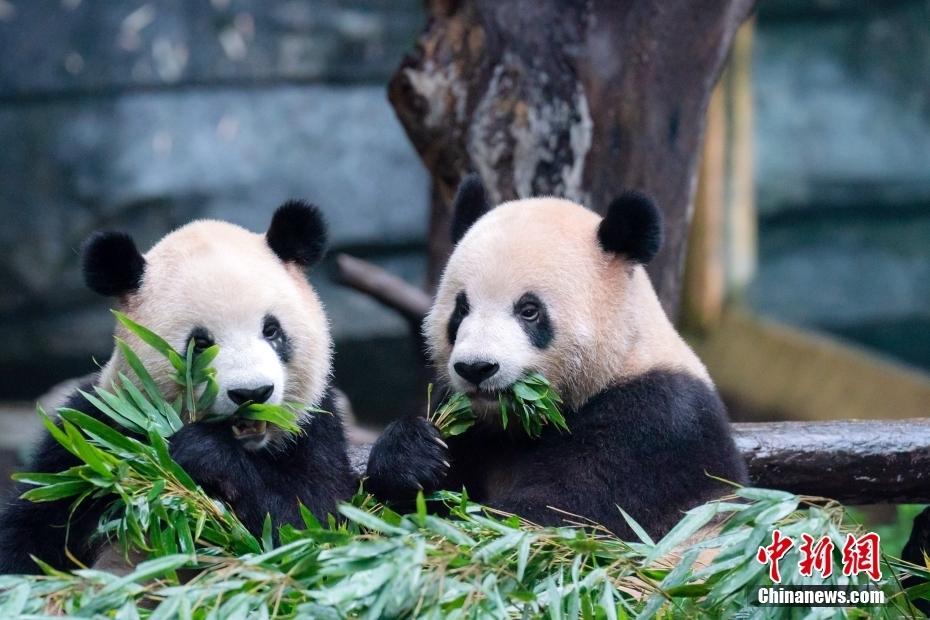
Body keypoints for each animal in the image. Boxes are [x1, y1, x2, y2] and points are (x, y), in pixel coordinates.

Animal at [0, 202, 356, 572]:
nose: (252, 393)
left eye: (271, 330)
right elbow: (34, 524)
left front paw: (202, 453)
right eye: (200, 343)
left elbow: (310, 522)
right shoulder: (93, 433)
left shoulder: (313, 427)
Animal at [366, 174, 752, 536]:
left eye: (529, 310)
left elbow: (563, 509)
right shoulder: (471, 423)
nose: (476, 368)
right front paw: (414, 455)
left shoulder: (654, 425)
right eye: (461, 309)